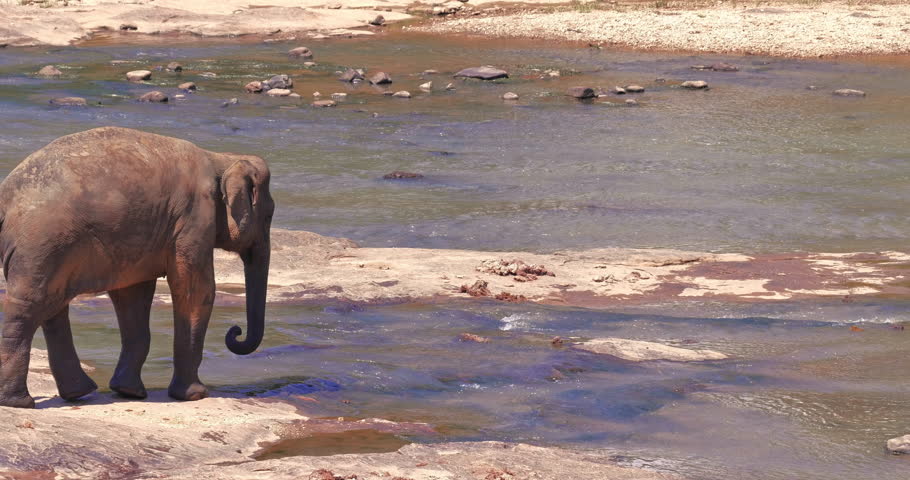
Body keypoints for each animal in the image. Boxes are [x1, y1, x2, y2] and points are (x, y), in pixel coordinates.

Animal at [0, 127, 274, 408]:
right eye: (269, 216)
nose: (235, 331)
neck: (221, 157)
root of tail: (5, 198)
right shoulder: (194, 218)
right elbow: (195, 290)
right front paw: (195, 395)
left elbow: (132, 296)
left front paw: (129, 392)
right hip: (41, 243)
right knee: (30, 306)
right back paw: (19, 402)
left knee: (52, 304)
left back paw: (77, 393)